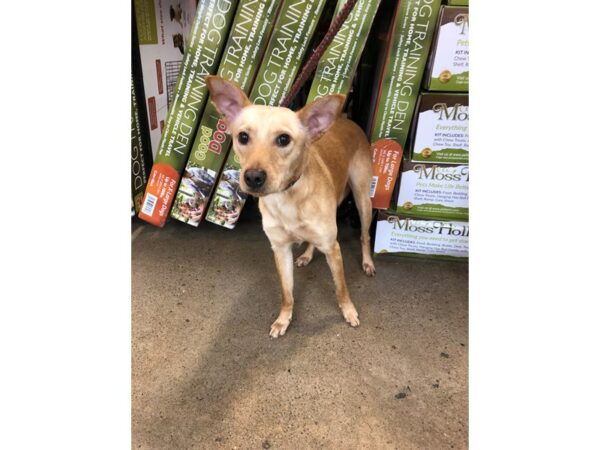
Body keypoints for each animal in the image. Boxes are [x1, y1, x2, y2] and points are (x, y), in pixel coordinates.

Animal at [206, 76, 376, 338]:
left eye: (283, 139)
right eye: (243, 137)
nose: (253, 177)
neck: (287, 196)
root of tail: (347, 120)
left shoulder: (333, 248)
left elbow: (341, 288)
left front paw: (348, 311)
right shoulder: (280, 249)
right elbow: (287, 293)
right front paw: (284, 319)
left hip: (362, 199)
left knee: (365, 235)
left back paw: (367, 262)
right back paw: (306, 255)